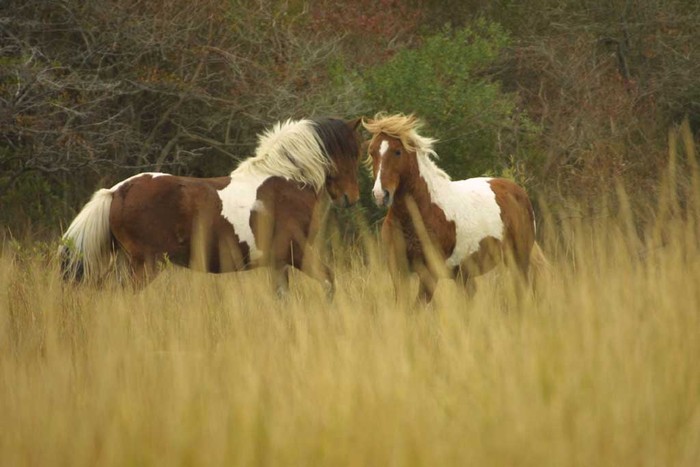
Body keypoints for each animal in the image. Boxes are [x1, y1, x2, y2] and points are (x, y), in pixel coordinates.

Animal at [59, 117, 360, 298]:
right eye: (352, 152)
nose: (351, 198)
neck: (285, 181)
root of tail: (117, 191)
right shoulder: (295, 252)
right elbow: (328, 281)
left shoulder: (278, 263)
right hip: (145, 265)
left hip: (126, 262)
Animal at [364, 113, 544, 304]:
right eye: (372, 152)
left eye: (397, 151)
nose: (380, 194)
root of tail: (519, 192)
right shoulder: (398, 269)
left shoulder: (430, 271)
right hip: (464, 275)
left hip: (519, 261)